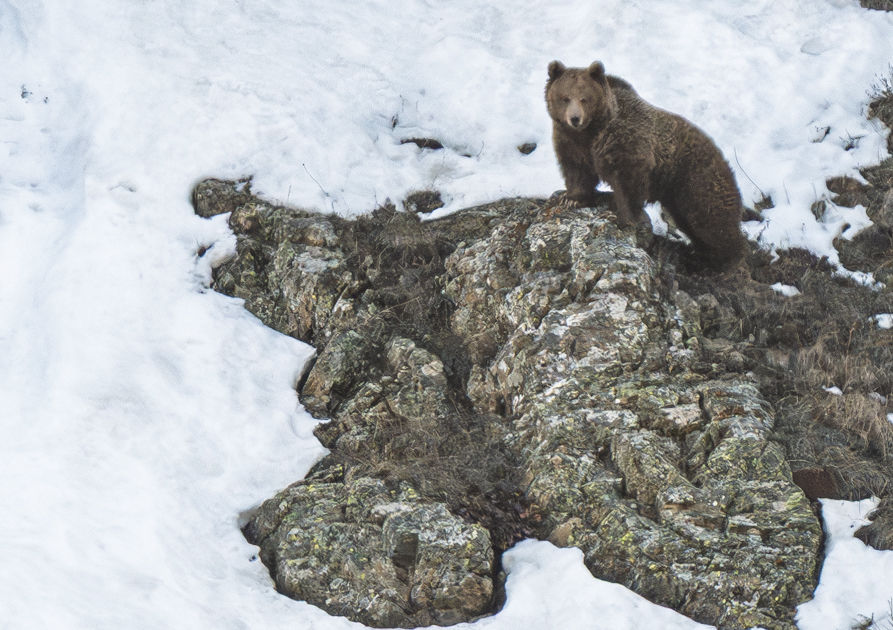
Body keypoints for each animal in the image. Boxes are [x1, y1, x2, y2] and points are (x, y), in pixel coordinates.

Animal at [545, 60, 746, 268]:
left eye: (584, 98)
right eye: (565, 98)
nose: (575, 119)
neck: (590, 132)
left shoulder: (625, 142)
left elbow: (629, 181)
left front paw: (619, 217)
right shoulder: (571, 143)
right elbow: (576, 171)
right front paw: (571, 199)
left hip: (696, 180)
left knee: (712, 221)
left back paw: (725, 258)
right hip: (678, 195)